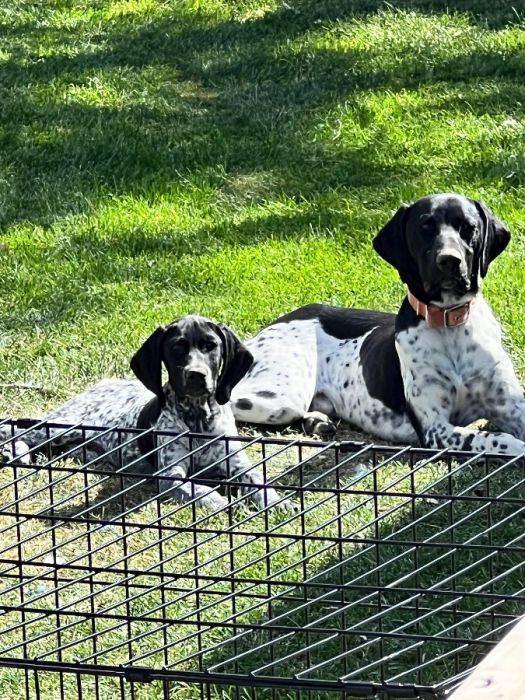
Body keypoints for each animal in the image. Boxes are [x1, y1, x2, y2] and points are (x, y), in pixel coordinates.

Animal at [1, 316, 286, 508]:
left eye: (211, 345)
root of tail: (100, 384)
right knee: (14, 429)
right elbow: (197, 490)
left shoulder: (236, 463)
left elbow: (257, 479)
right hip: (61, 426)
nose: (196, 375)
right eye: (176, 347)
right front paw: (216, 501)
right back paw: (13, 451)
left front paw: (275, 500)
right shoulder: (170, 475)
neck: (198, 418)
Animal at [232, 194, 524, 456]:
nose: (449, 260)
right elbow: (497, 439)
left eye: (468, 227)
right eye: (425, 228)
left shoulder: (511, 405)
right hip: (281, 397)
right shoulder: (435, 428)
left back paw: (316, 421)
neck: (450, 322)